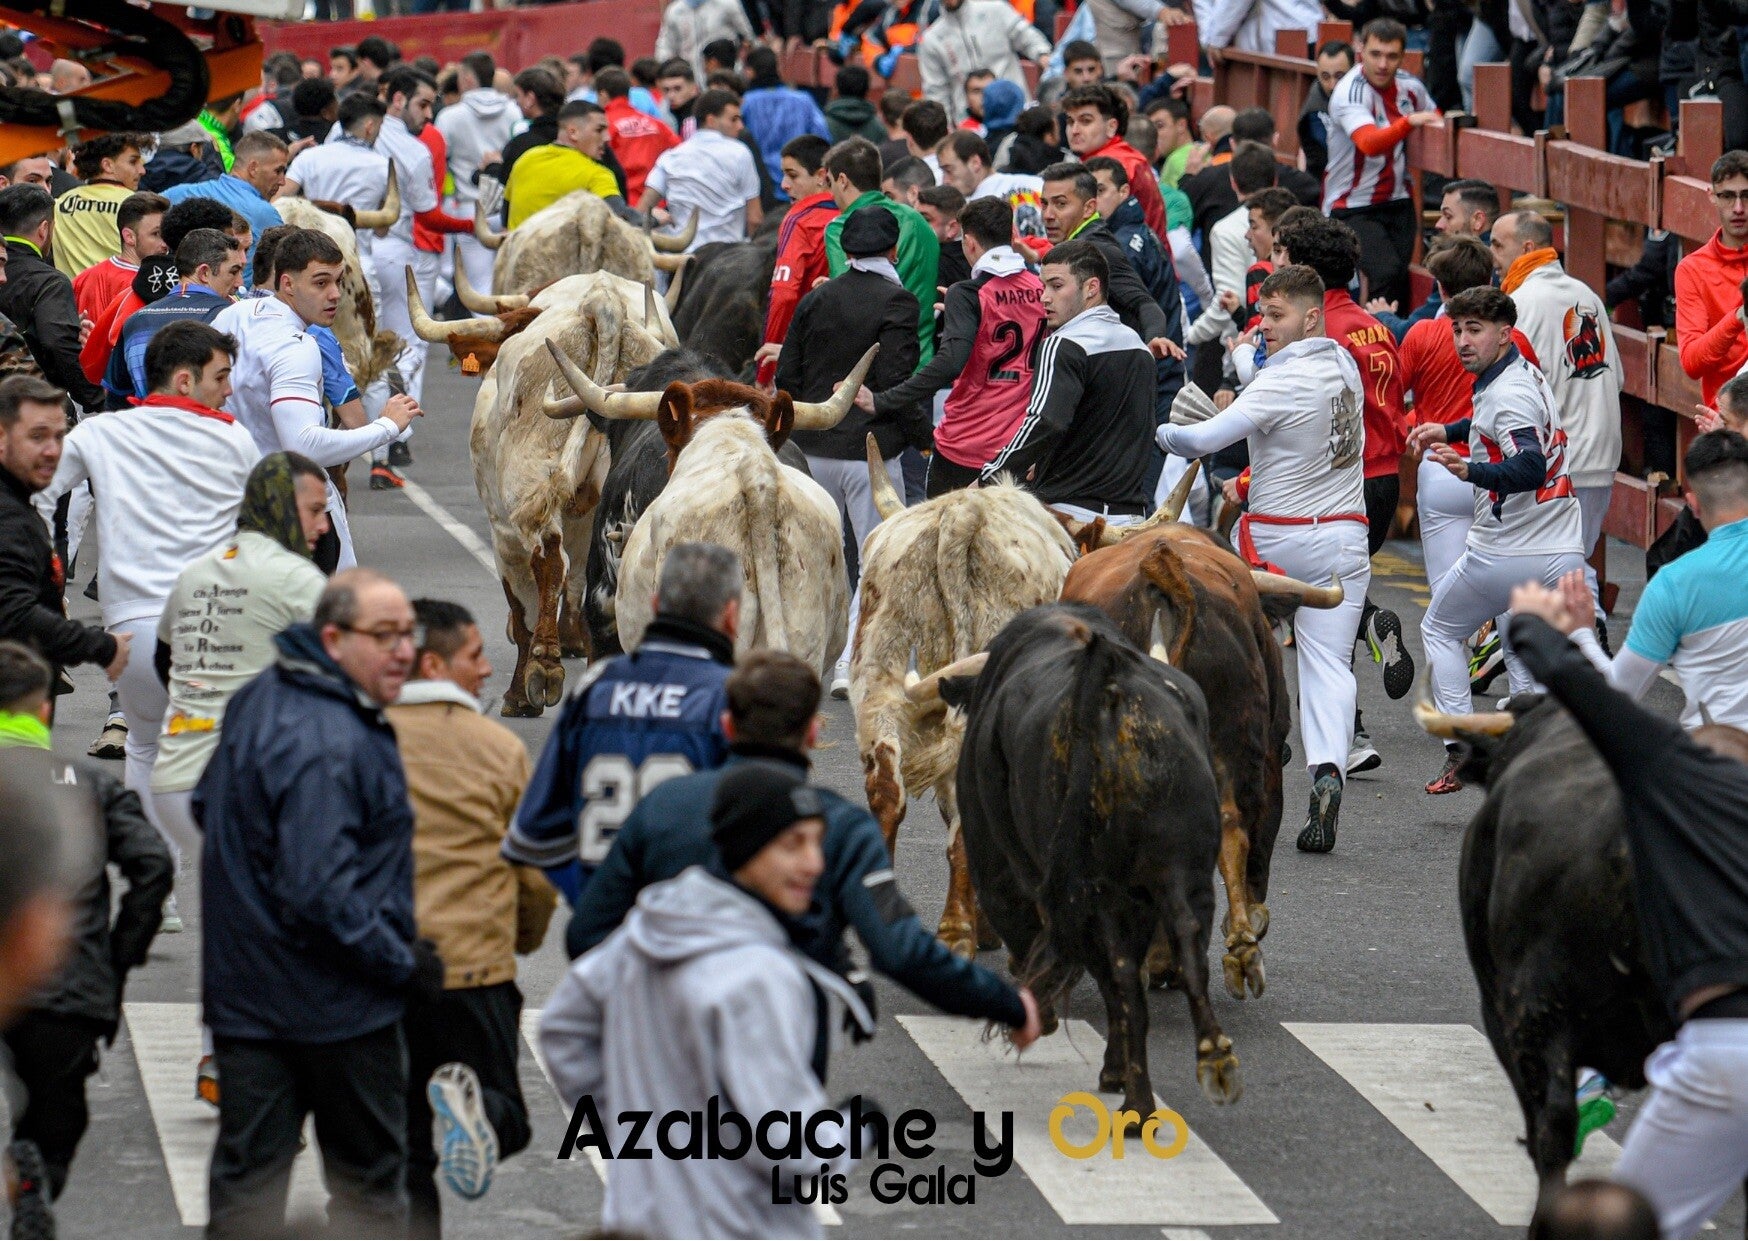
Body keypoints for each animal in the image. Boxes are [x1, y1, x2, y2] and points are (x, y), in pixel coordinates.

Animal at [467, 272, 672, 715]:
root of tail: (603, 303)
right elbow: (576, 578)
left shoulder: (502, 528)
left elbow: (523, 603)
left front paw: (519, 692)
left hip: (525, 489)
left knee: (547, 556)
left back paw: (544, 669)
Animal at [919, 603, 1239, 1116]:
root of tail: (1105, 680)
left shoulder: (999, 872)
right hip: (1179, 874)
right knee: (1182, 955)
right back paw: (1209, 1062)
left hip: (1084, 889)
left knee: (1117, 979)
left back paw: (1132, 1095)